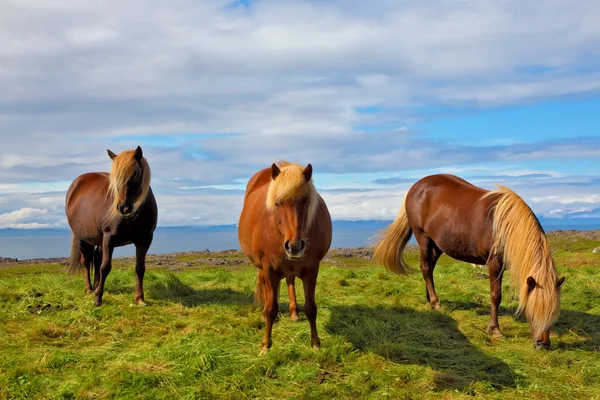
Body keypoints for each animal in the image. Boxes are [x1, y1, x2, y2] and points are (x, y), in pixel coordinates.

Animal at [65, 147, 157, 306]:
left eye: (135, 175)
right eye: (115, 180)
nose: (123, 208)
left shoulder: (144, 240)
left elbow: (140, 268)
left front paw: (140, 298)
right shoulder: (109, 238)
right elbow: (105, 267)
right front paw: (97, 298)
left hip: (99, 240)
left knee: (96, 259)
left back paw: (96, 286)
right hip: (82, 238)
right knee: (86, 262)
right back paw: (89, 289)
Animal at [238, 161, 332, 354]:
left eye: (306, 202)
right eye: (277, 203)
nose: (294, 246)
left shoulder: (312, 268)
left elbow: (311, 308)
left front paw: (316, 343)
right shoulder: (269, 269)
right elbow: (271, 308)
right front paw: (266, 345)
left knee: (290, 280)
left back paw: (294, 313)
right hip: (263, 268)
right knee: (266, 288)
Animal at [372, 175, 564, 350]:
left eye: (553, 313)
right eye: (532, 311)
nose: (543, 344)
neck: (507, 227)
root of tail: (416, 187)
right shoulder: (495, 264)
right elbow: (495, 296)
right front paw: (495, 330)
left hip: (438, 244)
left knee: (430, 269)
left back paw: (429, 299)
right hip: (423, 238)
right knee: (426, 268)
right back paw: (435, 302)